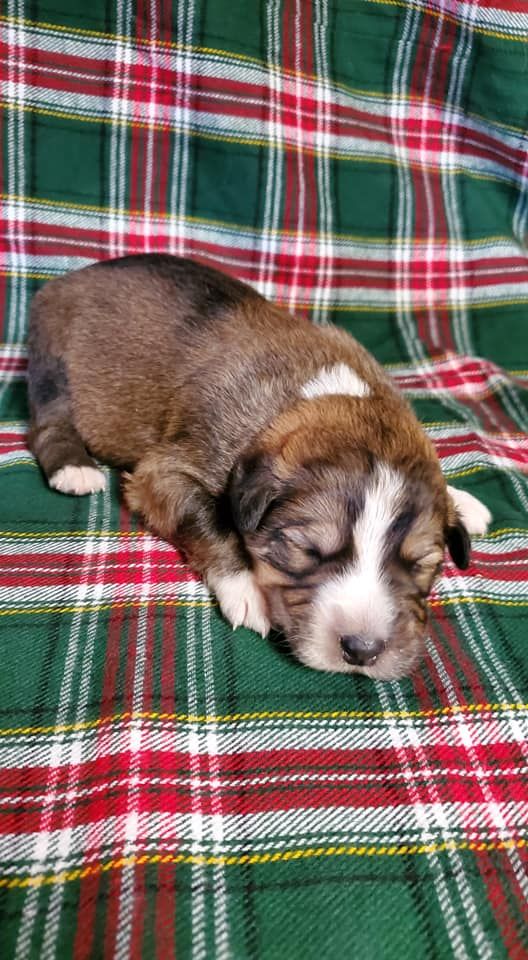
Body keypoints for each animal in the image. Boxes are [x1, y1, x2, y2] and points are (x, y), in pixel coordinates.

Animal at [27, 251, 490, 680]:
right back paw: (74, 469)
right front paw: (245, 587)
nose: (363, 650)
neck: (326, 398)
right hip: (54, 360)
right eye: (307, 550)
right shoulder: (164, 471)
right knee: (48, 424)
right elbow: (206, 516)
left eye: (420, 563)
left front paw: (462, 501)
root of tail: (70, 278)